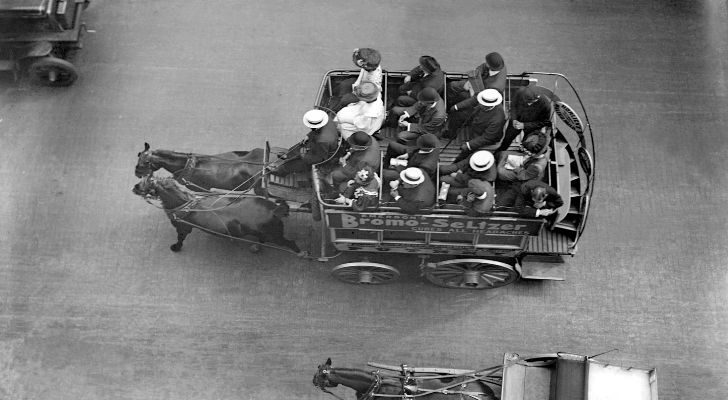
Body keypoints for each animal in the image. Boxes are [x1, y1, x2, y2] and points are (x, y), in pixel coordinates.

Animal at [132, 175, 304, 256]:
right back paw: (256, 246)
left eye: (143, 183)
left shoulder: (182, 226)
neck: (185, 204)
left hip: (276, 235)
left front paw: (176, 247)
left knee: (290, 243)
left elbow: (180, 238)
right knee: (263, 238)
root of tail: (275, 210)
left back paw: (301, 253)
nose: (133, 188)